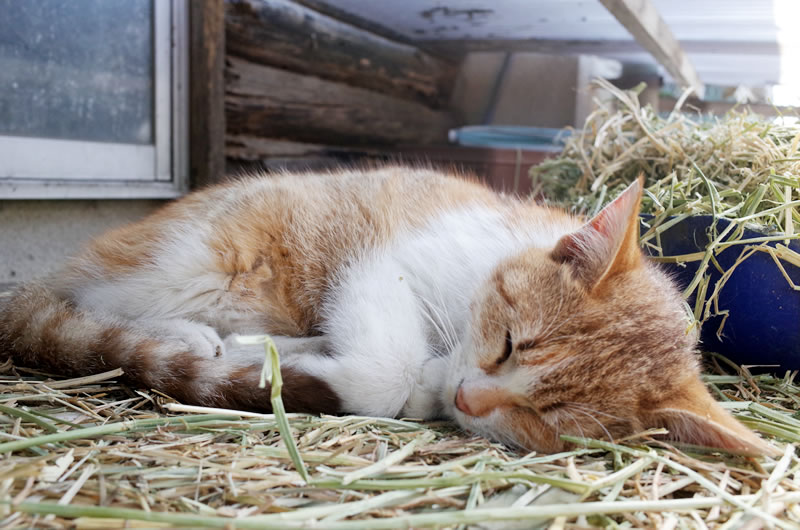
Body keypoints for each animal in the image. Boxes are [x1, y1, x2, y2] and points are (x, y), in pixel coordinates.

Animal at [0, 166, 776, 454]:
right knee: (95, 305)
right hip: (211, 259)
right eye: (510, 343)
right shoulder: (386, 260)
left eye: (542, 419)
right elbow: (385, 369)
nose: (469, 396)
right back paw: (191, 336)